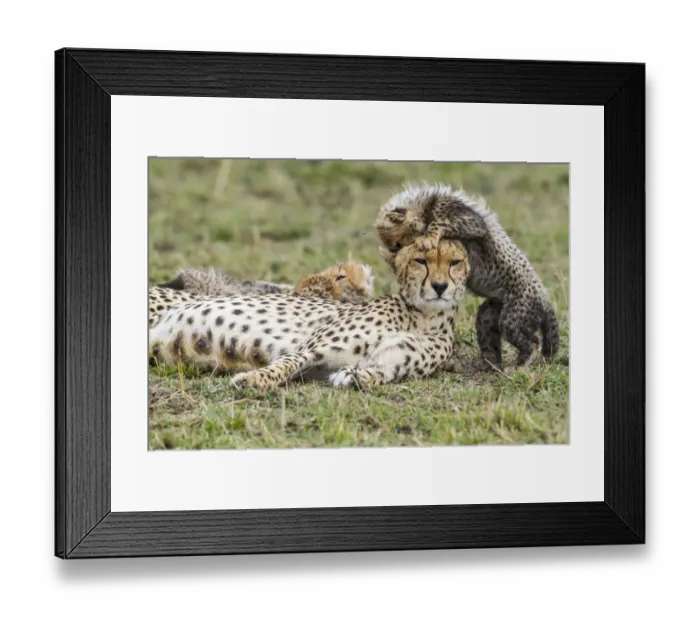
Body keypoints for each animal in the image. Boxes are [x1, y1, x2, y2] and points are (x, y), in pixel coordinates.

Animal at [148, 239, 470, 390]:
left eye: (454, 262)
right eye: (420, 261)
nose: (439, 287)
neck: (424, 316)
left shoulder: (387, 364)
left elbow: (374, 375)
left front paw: (352, 377)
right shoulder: (310, 349)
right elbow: (284, 365)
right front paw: (252, 380)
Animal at [374, 182, 560, 369]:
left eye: (397, 243)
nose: (397, 255)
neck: (426, 206)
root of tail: (546, 298)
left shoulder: (470, 221)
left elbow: (440, 223)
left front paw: (427, 238)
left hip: (514, 317)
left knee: (532, 341)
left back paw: (519, 365)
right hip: (491, 313)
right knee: (488, 332)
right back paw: (488, 365)